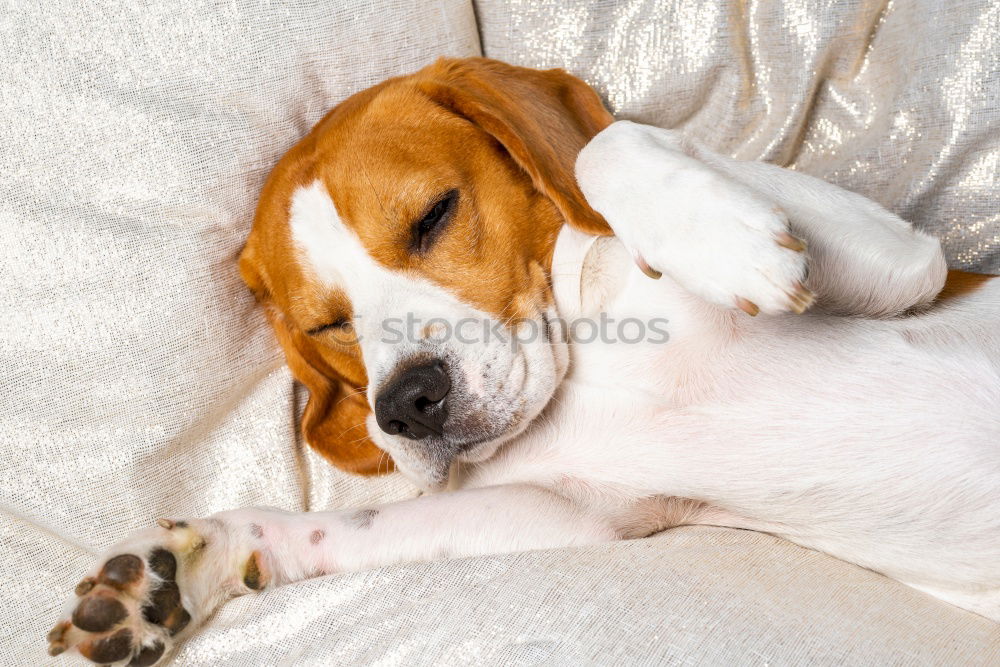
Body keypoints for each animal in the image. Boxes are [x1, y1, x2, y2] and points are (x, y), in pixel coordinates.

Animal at [47, 60, 1000, 664]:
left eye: (433, 216)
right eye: (326, 322)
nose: (406, 404)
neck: (591, 346)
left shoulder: (913, 266)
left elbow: (603, 148)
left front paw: (722, 239)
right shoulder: (578, 513)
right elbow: (342, 530)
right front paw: (194, 561)